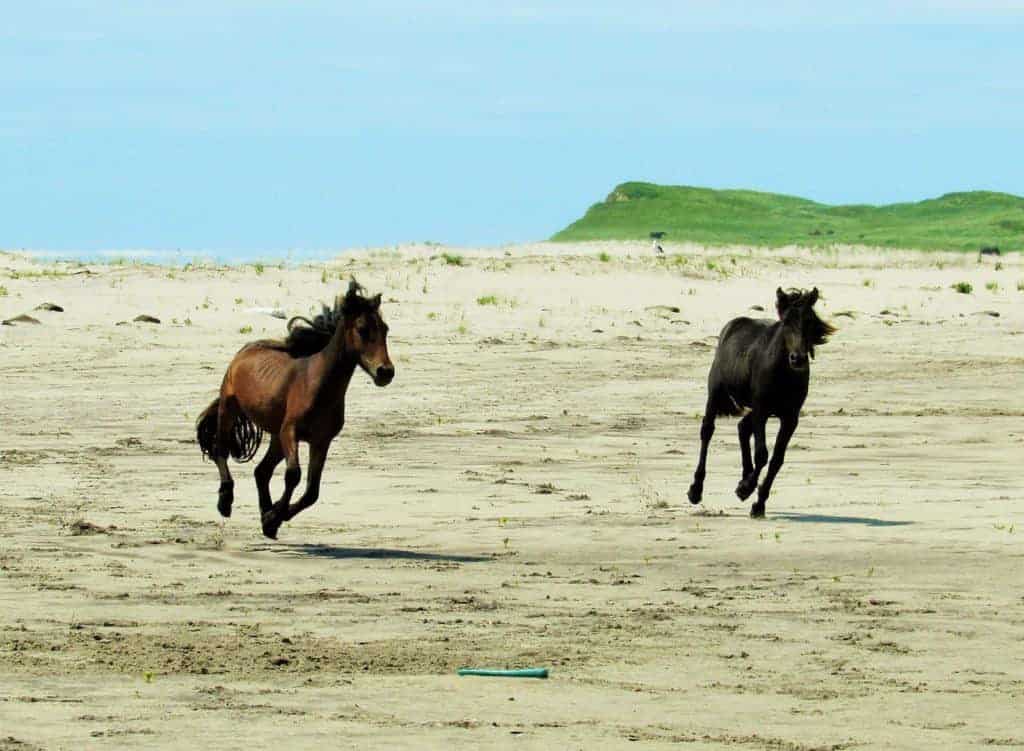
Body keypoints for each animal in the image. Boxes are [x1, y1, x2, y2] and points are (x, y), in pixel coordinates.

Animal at [196, 279, 394, 539]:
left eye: (385, 329)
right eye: (362, 329)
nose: (386, 372)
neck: (319, 385)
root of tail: (246, 349)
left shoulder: (321, 441)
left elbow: (312, 492)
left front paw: (271, 520)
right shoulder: (291, 431)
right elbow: (294, 475)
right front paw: (272, 517)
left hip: (275, 438)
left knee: (261, 471)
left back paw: (265, 512)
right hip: (230, 409)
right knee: (222, 449)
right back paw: (225, 501)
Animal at [686, 287, 835, 518]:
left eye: (809, 321)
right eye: (786, 322)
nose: (798, 359)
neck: (782, 374)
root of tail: (731, 326)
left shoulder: (790, 417)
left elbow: (776, 459)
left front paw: (757, 502)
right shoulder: (762, 410)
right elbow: (762, 454)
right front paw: (745, 490)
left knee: (742, 428)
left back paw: (745, 476)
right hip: (717, 394)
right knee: (707, 431)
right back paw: (696, 490)